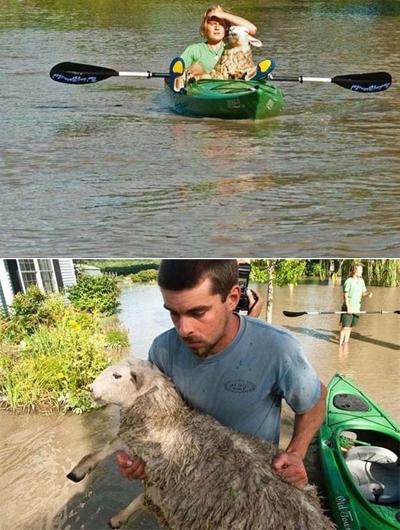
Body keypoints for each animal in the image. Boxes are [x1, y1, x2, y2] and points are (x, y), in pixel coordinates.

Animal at [66, 356, 334, 524]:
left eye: (117, 375)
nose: (90, 389)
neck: (168, 418)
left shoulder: (150, 455)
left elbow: (109, 447)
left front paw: (81, 472)